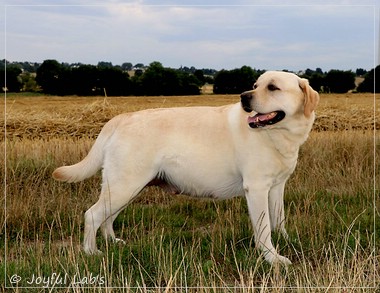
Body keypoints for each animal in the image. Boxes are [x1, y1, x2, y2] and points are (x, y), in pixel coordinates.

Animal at [52, 70, 318, 264]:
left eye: (273, 87)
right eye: (256, 84)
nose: (244, 96)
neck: (279, 135)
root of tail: (120, 118)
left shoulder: (277, 187)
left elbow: (278, 219)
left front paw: (287, 241)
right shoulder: (256, 188)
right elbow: (263, 229)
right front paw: (273, 258)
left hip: (126, 187)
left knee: (107, 217)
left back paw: (112, 243)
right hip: (124, 185)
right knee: (92, 214)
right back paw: (91, 252)